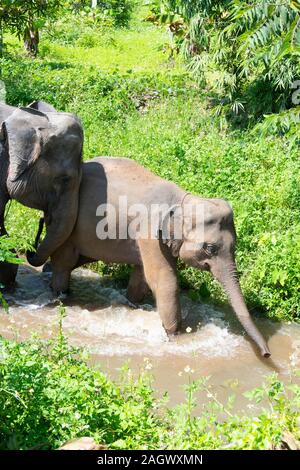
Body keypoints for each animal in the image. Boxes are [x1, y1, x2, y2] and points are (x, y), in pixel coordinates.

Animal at [45, 156, 270, 358]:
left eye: (235, 246)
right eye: (210, 248)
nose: (267, 354)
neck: (184, 200)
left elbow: (142, 276)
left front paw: (133, 305)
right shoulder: (150, 233)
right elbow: (164, 279)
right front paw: (175, 337)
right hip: (66, 223)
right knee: (64, 261)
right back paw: (60, 295)